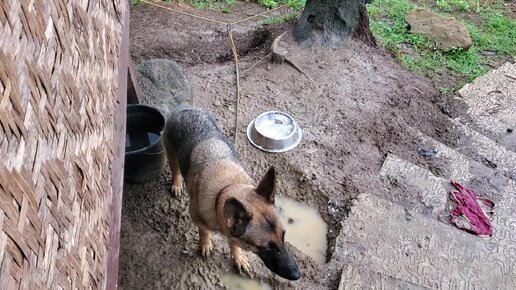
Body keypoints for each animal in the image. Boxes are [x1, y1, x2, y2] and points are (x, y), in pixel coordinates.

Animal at [163, 105, 300, 280]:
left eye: (283, 236)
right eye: (266, 248)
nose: (297, 274)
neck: (227, 187)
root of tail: (184, 108)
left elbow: (234, 243)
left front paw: (238, 256)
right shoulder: (199, 220)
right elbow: (204, 231)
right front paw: (205, 243)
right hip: (171, 155)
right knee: (175, 171)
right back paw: (177, 184)